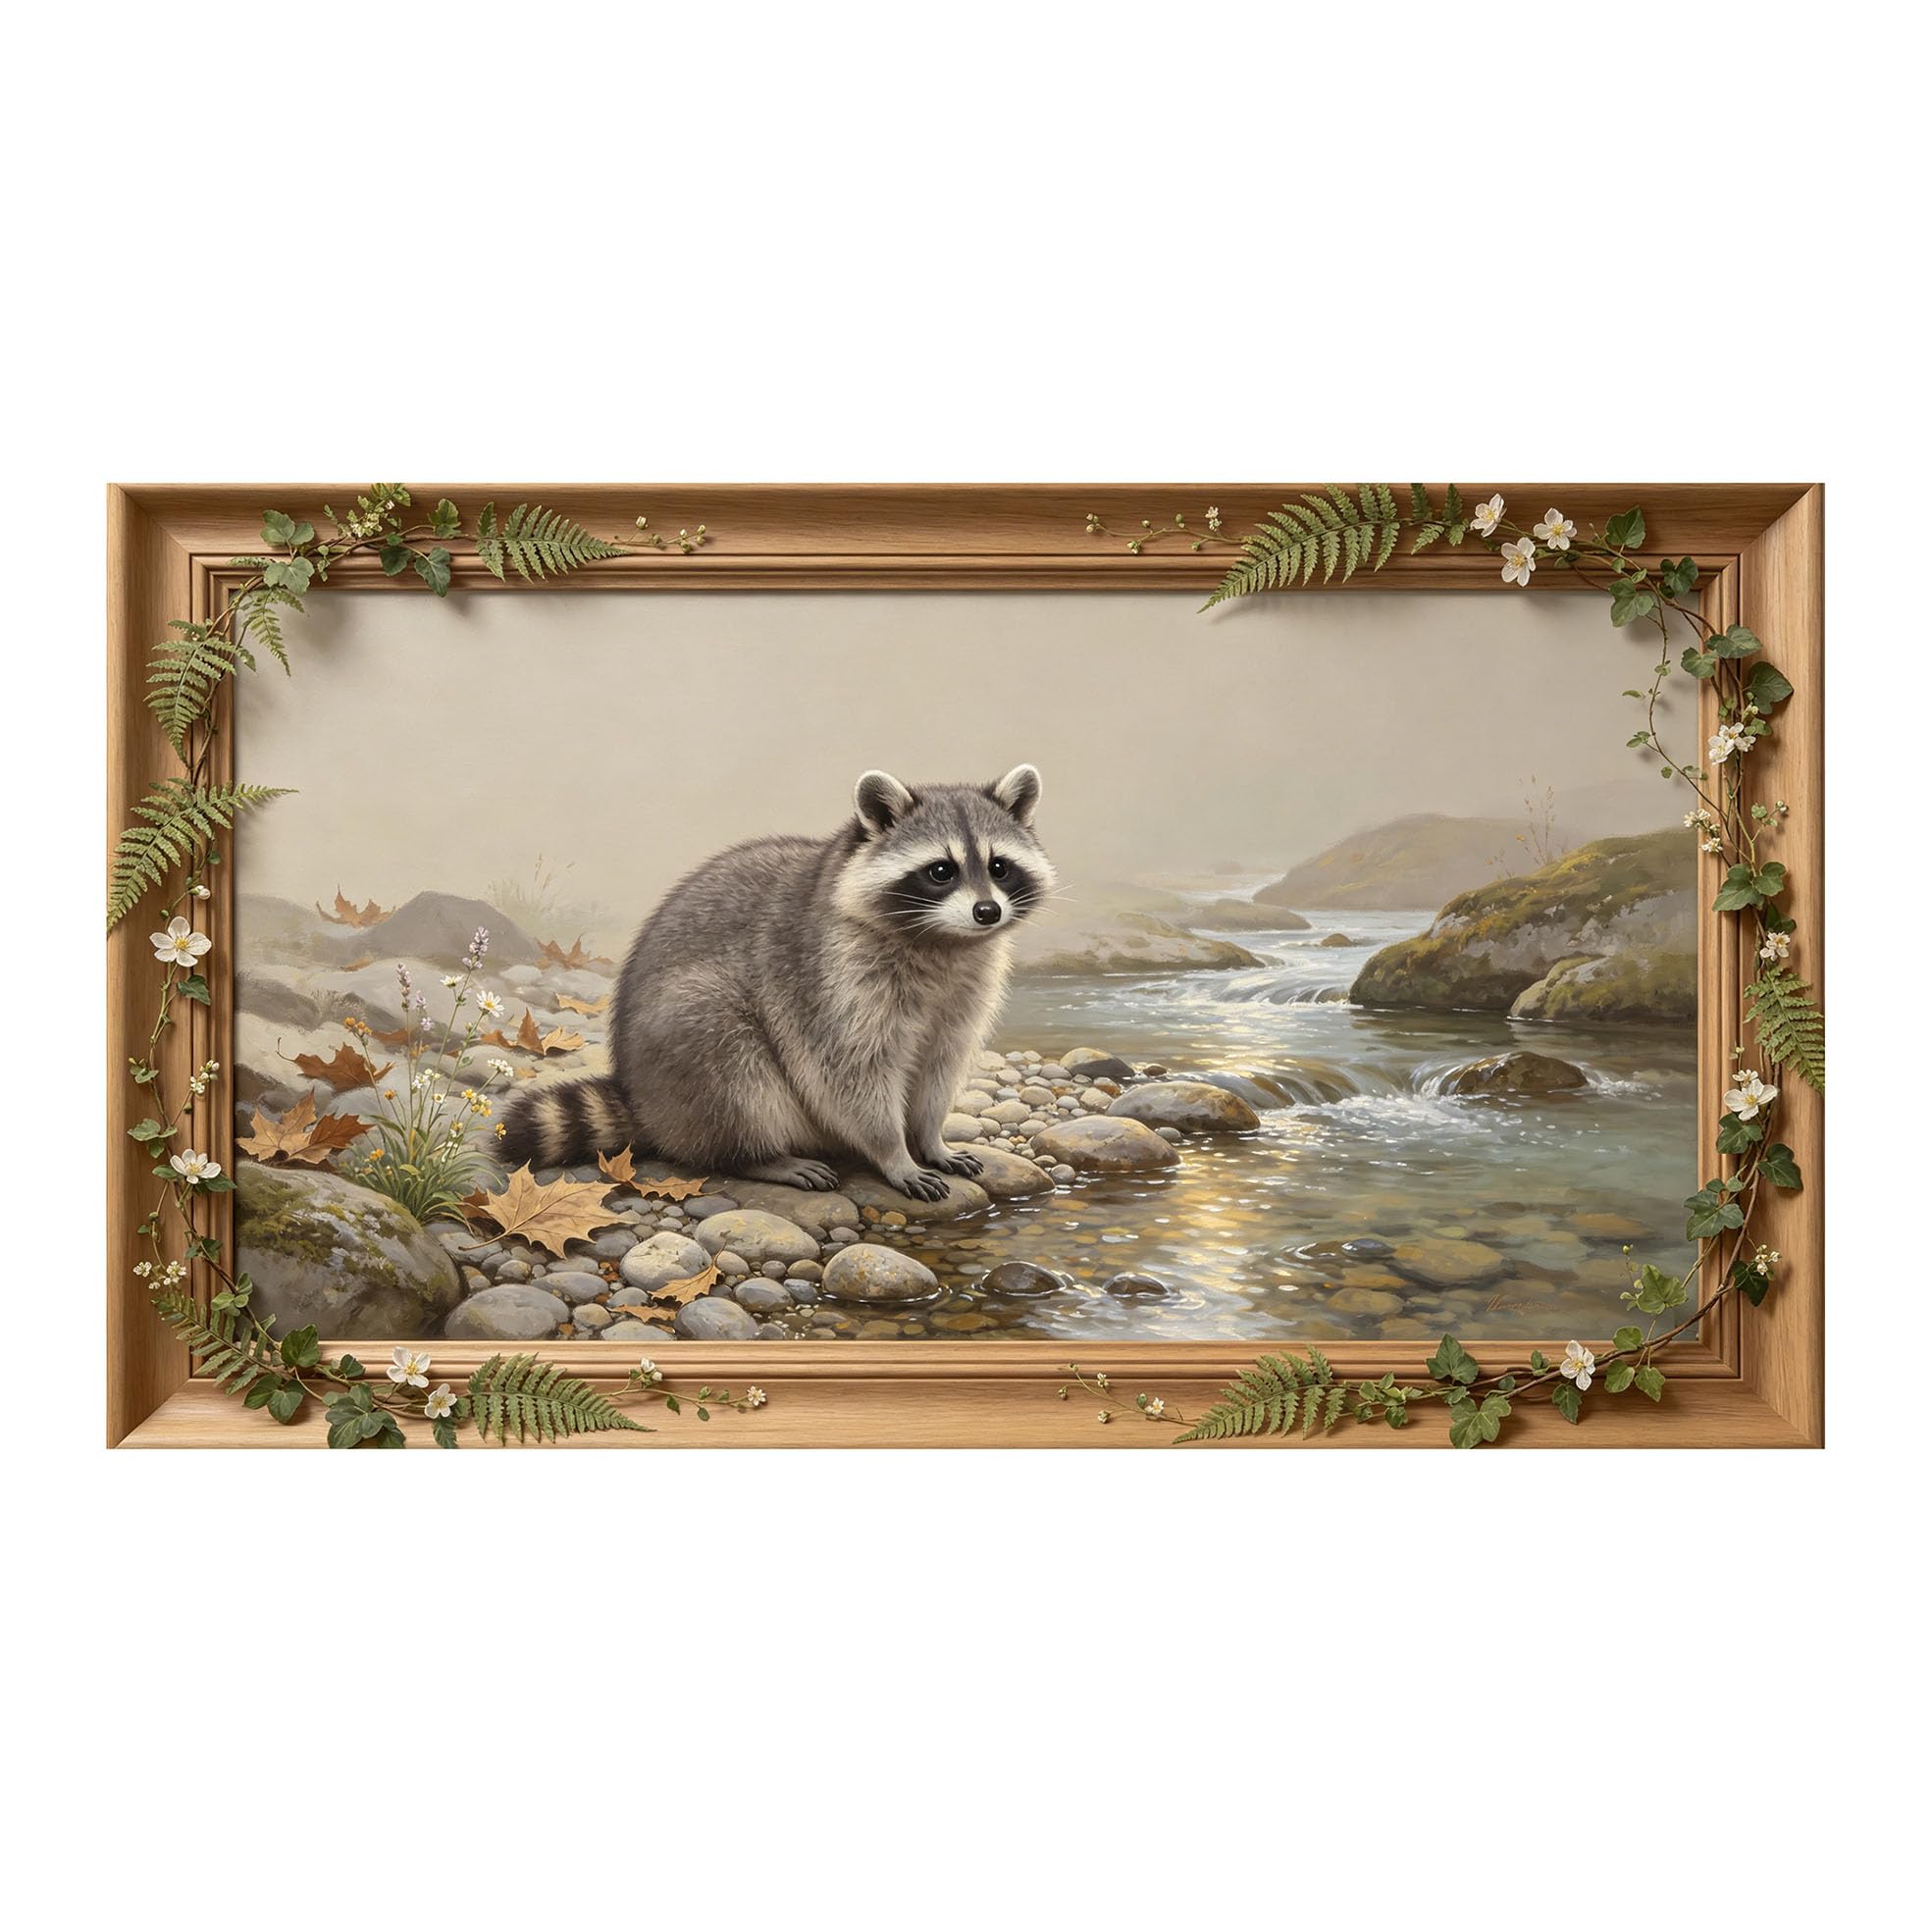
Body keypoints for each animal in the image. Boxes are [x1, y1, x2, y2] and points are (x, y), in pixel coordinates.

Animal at [499, 764, 1054, 1201]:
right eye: (941, 871)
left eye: (1000, 867)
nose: (987, 912)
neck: (943, 943)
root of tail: (644, 1102)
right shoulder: (829, 979)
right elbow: (850, 1076)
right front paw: (894, 1153)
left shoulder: (966, 989)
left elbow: (941, 1065)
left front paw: (931, 1138)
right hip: (693, 1039)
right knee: (730, 1065)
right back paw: (758, 1156)